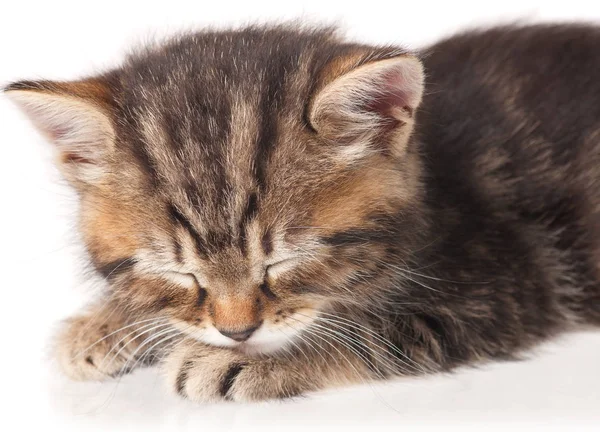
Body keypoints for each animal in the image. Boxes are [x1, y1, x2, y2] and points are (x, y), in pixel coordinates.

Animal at [5, 22, 600, 402]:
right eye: (178, 272)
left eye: (284, 262)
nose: (237, 333)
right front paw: (105, 323)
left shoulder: (507, 282)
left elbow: (374, 331)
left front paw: (240, 360)